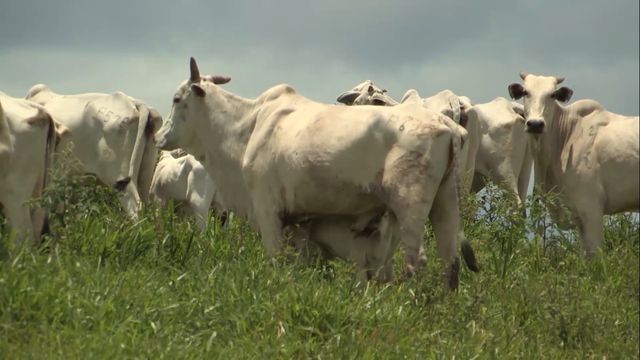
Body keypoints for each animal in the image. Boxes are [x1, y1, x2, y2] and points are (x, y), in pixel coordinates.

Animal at [154, 59, 464, 290]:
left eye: (176, 98)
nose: (158, 137)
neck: (246, 128)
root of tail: (447, 124)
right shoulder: (300, 220)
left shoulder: (267, 209)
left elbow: (275, 257)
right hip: (445, 199)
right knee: (450, 257)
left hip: (410, 204)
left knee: (417, 259)